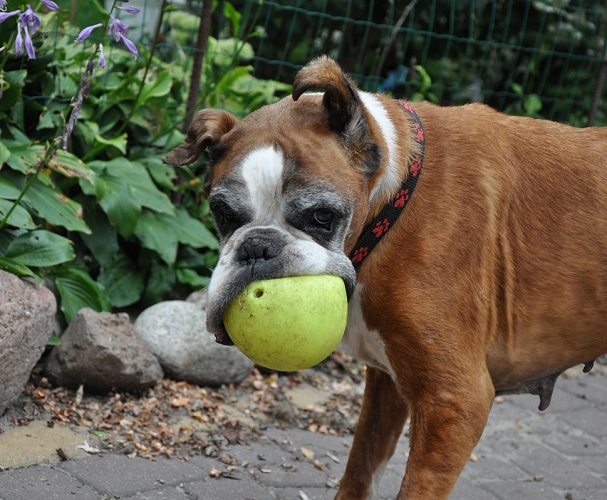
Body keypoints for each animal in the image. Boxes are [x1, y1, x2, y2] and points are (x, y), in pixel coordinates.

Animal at [164, 56, 607, 498]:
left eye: (321, 216)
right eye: (223, 213)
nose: (258, 246)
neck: (392, 198)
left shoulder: (454, 402)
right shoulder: (388, 386)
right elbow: (360, 469)